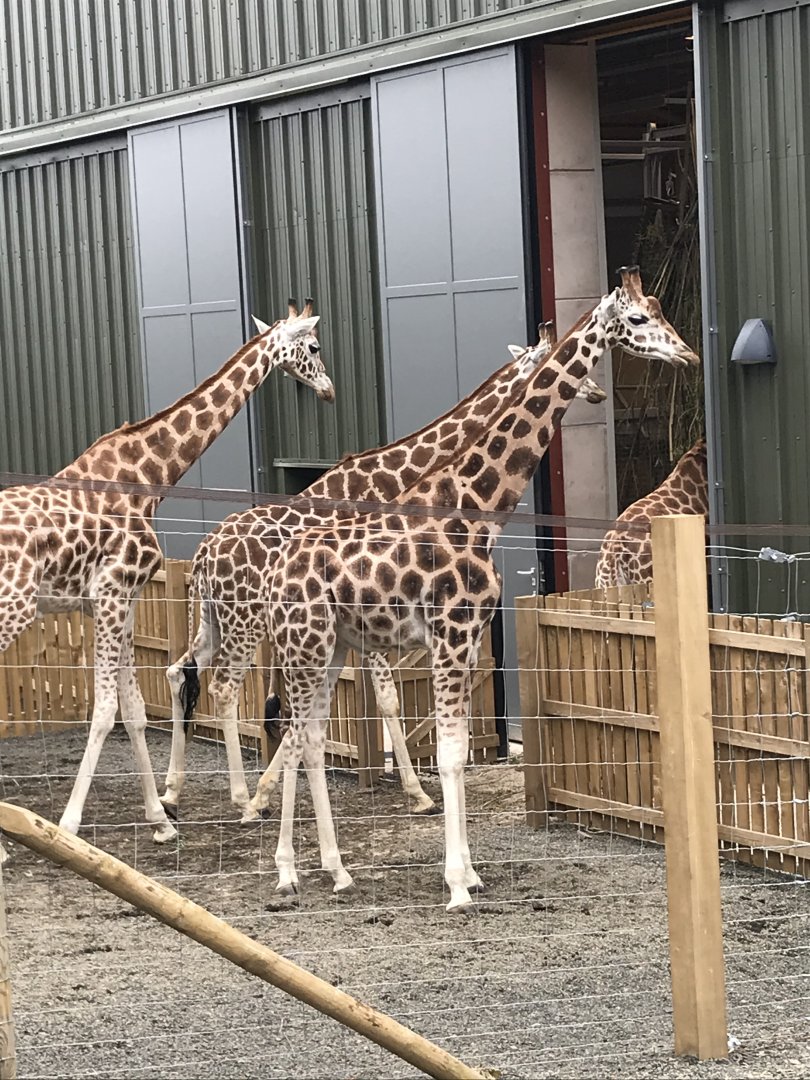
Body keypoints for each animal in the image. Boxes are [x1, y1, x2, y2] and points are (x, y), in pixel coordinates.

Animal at [0, 299, 333, 855]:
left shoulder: (121, 599)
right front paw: (68, 825)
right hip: (13, 607)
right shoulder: (112, 592)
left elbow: (134, 708)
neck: (148, 476)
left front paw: (160, 819)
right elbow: (106, 707)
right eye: (313, 345)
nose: (327, 388)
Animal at [161, 323, 605, 822]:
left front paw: (271, 785)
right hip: (246, 621)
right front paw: (418, 794)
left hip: (214, 617)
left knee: (179, 671)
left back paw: (172, 794)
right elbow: (387, 700)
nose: (597, 392)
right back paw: (240, 799)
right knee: (223, 689)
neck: (393, 478)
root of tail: (203, 553)